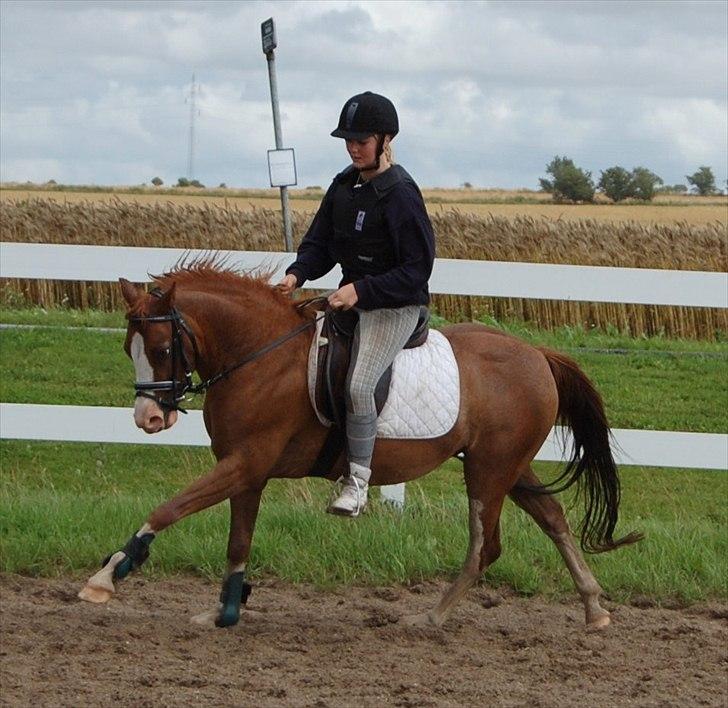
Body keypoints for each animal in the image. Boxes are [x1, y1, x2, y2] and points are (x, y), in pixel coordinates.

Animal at [78, 260, 641, 629]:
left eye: (161, 347)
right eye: (128, 348)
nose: (149, 418)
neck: (260, 356)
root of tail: (537, 353)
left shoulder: (245, 463)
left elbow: (169, 508)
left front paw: (107, 575)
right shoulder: (247, 471)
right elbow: (238, 542)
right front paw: (226, 609)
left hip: (489, 470)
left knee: (486, 543)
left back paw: (431, 617)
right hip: (509, 465)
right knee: (553, 520)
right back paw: (594, 608)